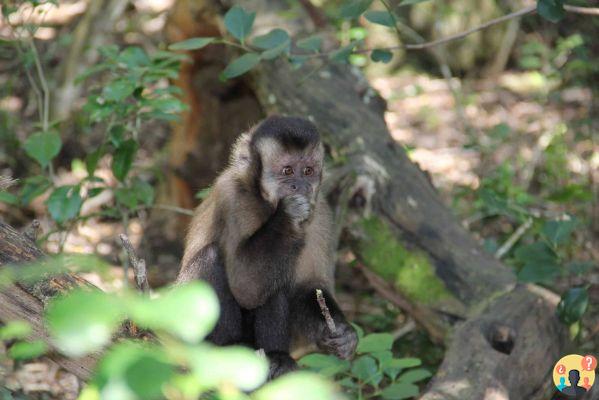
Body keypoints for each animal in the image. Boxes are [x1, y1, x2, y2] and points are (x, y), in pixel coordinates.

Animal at [176, 115, 358, 378]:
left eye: (308, 171)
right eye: (288, 171)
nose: (300, 186)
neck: (267, 205)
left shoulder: (320, 212)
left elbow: (310, 286)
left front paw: (341, 333)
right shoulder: (234, 198)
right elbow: (246, 286)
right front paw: (288, 215)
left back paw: (278, 356)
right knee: (213, 257)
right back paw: (226, 348)